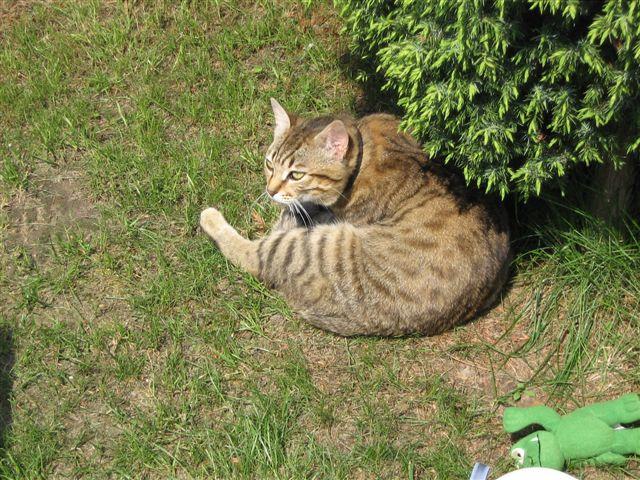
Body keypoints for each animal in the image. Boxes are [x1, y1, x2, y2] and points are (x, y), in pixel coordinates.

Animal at [200, 99, 510, 336]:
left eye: (297, 174)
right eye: (268, 164)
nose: (270, 190)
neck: (363, 147)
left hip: (315, 248)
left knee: (254, 256)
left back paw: (210, 217)